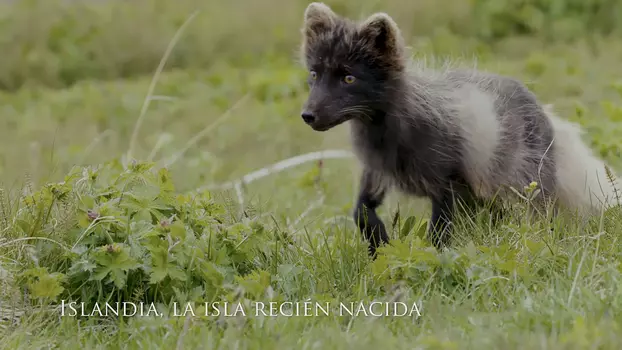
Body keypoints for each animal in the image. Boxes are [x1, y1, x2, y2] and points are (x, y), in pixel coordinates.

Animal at [300, 2, 620, 254]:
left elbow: (439, 233)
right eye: (314, 74)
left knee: (540, 219)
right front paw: (379, 245)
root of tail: (545, 111)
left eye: (349, 78)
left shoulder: (448, 184)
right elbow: (361, 213)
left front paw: (434, 260)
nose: (307, 115)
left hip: (524, 187)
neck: (386, 136)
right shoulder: (376, 172)